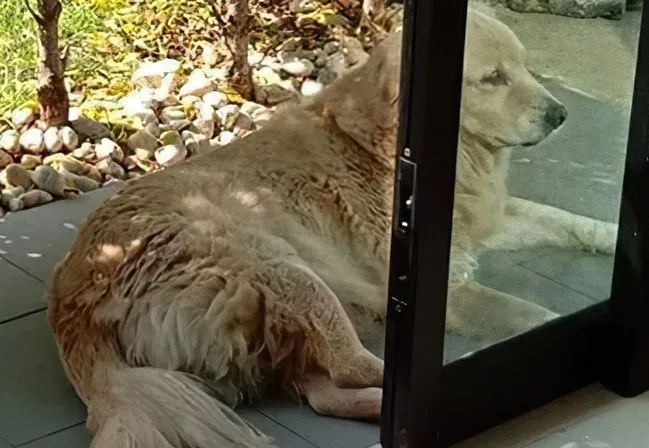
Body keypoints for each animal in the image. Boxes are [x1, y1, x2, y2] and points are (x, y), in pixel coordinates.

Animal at [47, 8, 617, 447]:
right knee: (352, 366)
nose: (562, 115)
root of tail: (73, 306)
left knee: (325, 396)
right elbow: (530, 312)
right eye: (493, 78)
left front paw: (613, 237)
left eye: (523, 67)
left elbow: (564, 220)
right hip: (286, 270)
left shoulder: (484, 217)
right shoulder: (446, 288)